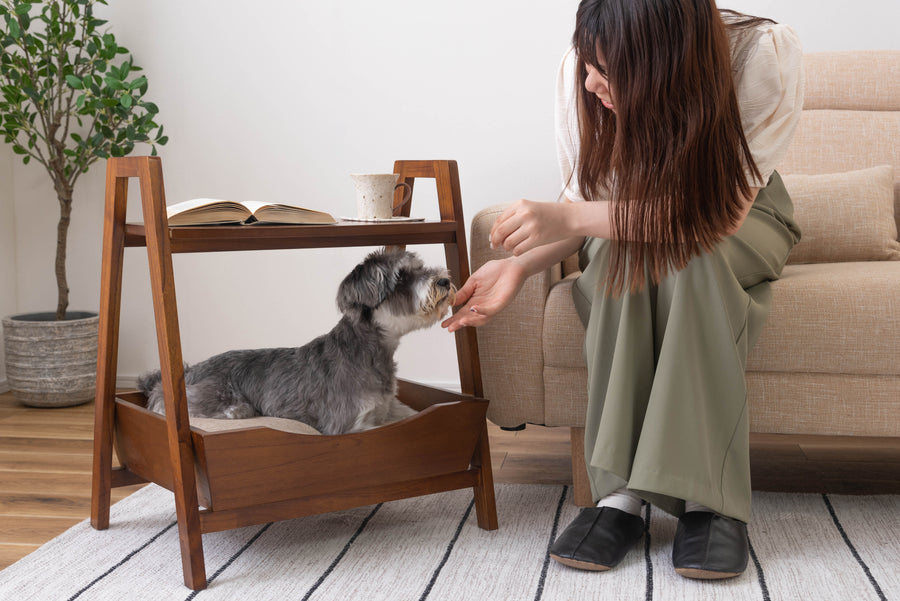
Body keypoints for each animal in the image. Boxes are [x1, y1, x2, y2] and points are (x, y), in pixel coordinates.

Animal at [140, 246, 458, 434]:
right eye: (401, 277)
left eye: (419, 267)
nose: (444, 280)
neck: (368, 353)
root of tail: (189, 371)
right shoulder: (350, 426)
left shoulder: (392, 412)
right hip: (218, 399)